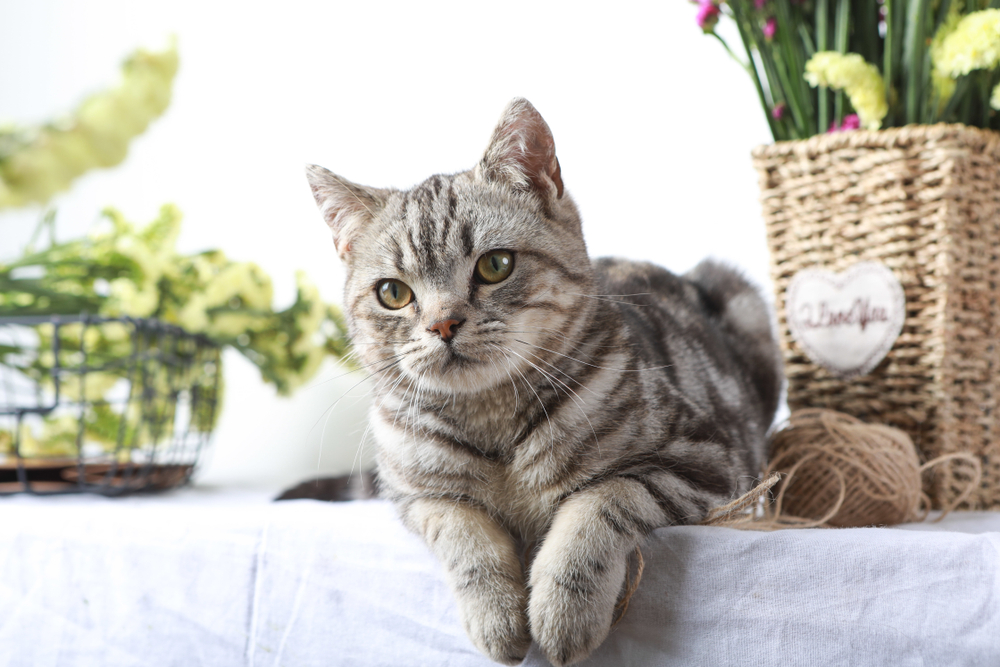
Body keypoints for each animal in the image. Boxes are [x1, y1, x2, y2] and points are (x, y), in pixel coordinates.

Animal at [302, 96, 780, 664]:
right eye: (393, 293)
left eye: (495, 265)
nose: (443, 324)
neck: (491, 421)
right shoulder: (414, 495)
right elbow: (464, 533)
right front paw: (496, 615)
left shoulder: (705, 458)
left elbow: (600, 502)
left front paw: (563, 609)